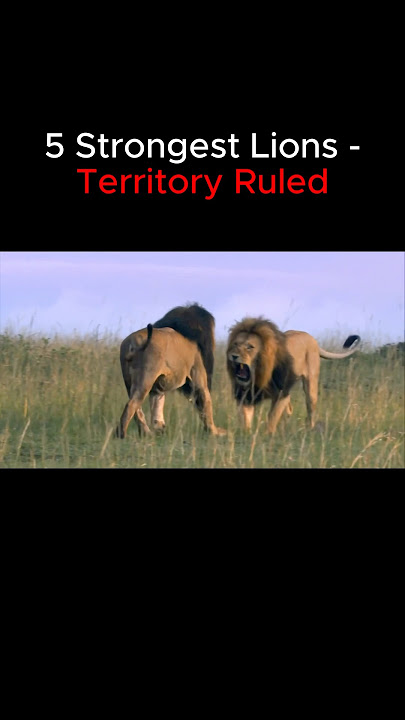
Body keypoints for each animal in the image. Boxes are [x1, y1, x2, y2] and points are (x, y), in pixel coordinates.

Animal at [227, 317, 360, 434]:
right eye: (235, 344)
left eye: (250, 347)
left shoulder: (281, 393)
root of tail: (312, 338)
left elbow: (272, 416)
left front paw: (267, 435)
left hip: (310, 385)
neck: (260, 373)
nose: (233, 356)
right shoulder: (246, 395)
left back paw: (310, 430)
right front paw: (246, 434)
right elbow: (245, 417)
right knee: (289, 409)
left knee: (310, 409)